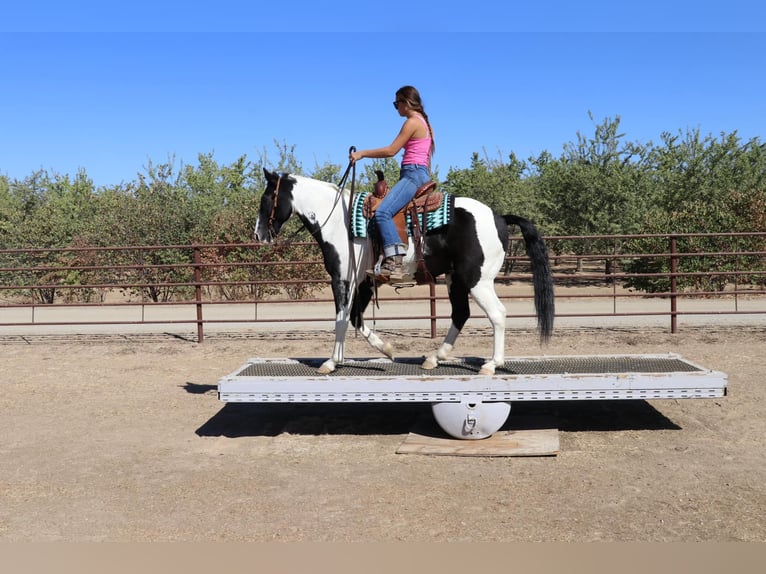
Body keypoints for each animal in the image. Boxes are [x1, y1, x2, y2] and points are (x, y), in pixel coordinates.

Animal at [255, 169, 556, 376]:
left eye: (267, 197)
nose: (259, 235)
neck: (339, 220)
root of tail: (499, 218)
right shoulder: (365, 283)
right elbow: (355, 318)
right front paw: (387, 350)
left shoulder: (342, 279)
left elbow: (341, 318)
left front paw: (332, 361)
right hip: (456, 279)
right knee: (461, 313)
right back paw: (435, 357)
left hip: (477, 280)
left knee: (497, 314)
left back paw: (491, 364)